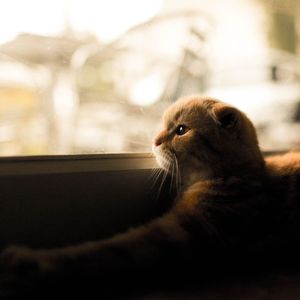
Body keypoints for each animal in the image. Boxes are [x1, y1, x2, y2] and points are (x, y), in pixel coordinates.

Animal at [0, 96, 300, 298]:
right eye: (162, 125)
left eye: (181, 130)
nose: (154, 140)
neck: (237, 174)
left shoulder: (174, 236)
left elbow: (103, 250)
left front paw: (27, 264)